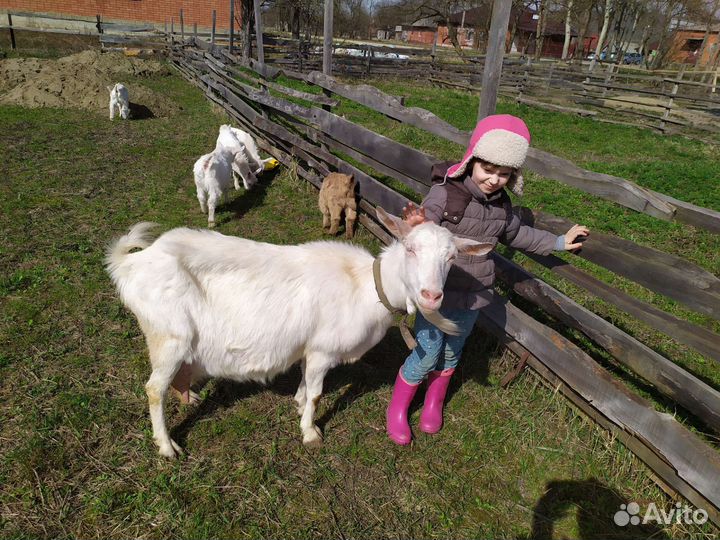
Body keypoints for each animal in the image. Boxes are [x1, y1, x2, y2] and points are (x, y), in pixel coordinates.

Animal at [105, 208, 492, 457]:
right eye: (410, 249)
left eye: (452, 258)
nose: (432, 295)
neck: (364, 286)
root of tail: (130, 263)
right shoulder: (323, 349)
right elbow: (319, 395)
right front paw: (310, 432)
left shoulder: (309, 348)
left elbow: (306, 382)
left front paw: (298, 402)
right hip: (168, 335)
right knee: (154, 389)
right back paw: (167, 446)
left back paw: (189, 399)